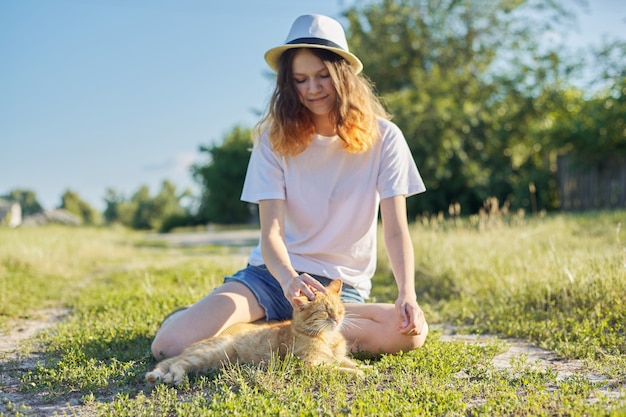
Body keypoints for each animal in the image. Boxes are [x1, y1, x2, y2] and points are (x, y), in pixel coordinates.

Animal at [146, 278, 358, 386]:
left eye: (338, 307)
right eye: (324, 310)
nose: (337, 318)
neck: (328, 337)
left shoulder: (338, 358)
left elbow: (349, 363)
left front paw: (363, 368)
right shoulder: (309, 365)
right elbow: (338, 369)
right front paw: (358, 374)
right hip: (210, 353)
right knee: (177, 363)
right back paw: (177, 378)